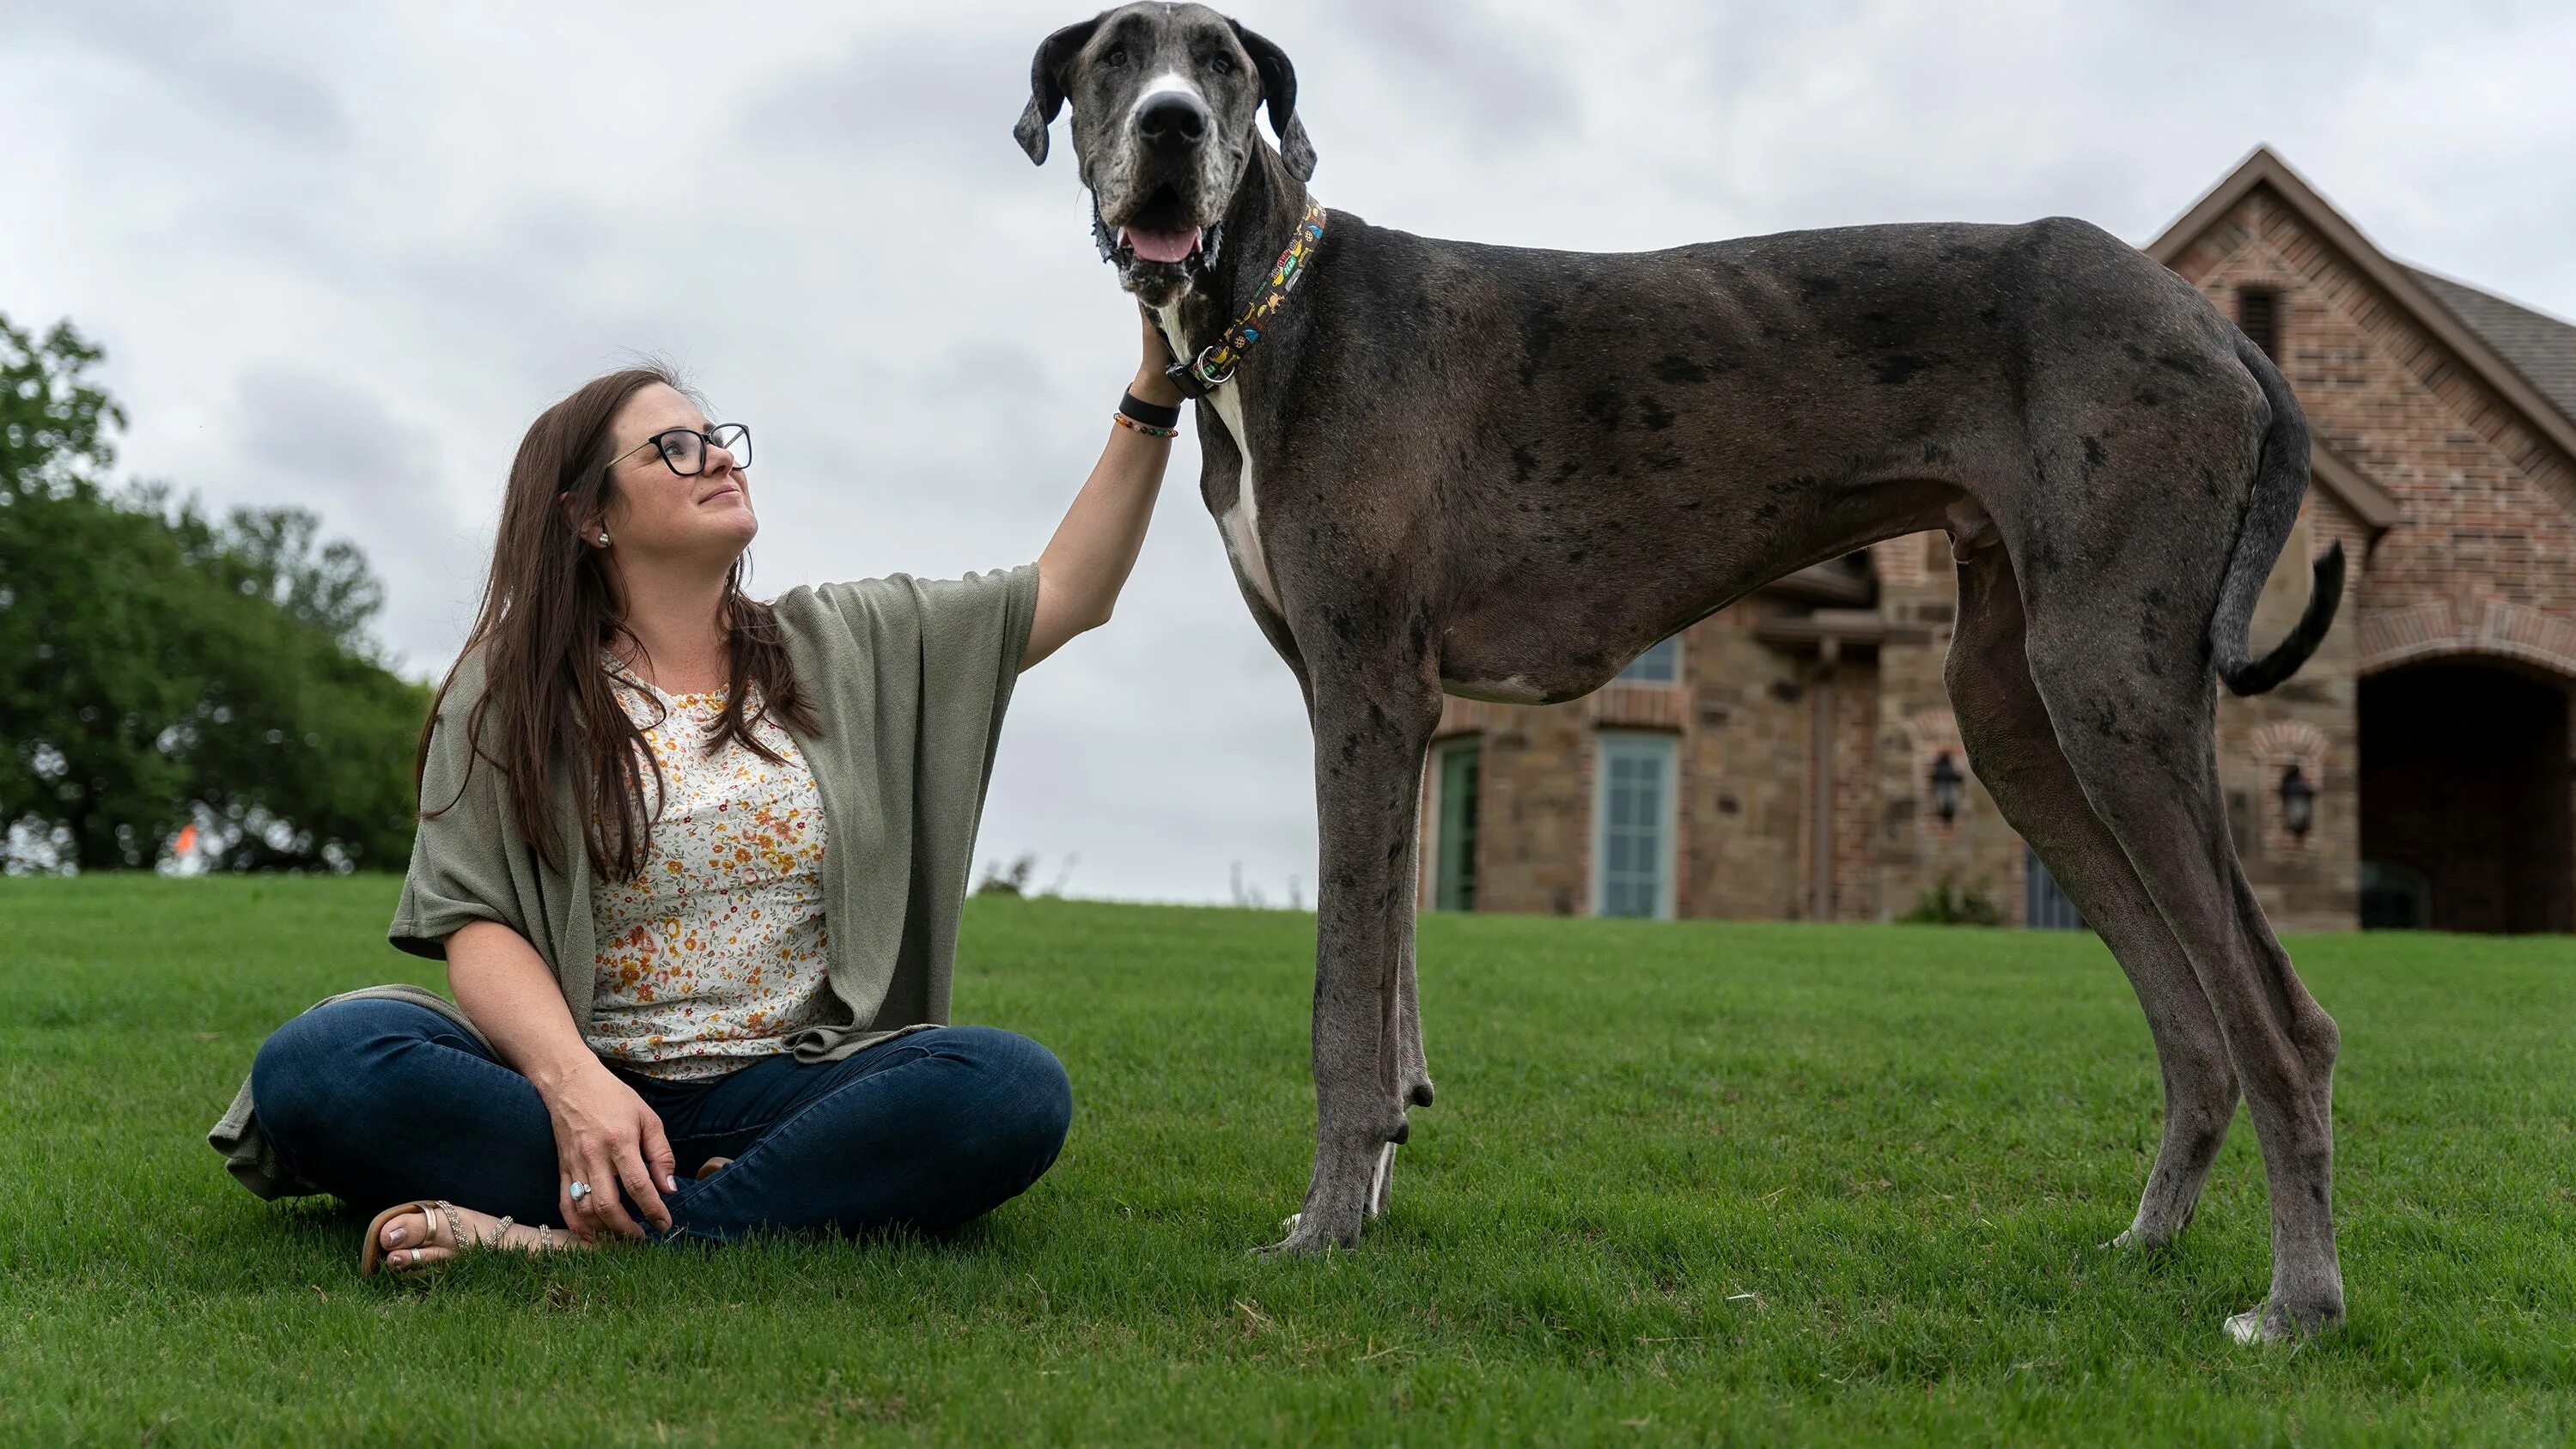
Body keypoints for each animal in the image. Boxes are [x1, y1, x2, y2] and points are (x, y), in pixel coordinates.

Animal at [1004, 0, 2360, 1349]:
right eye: (1113, 59)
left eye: (1222, 64)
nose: (1170, 127)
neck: (1273, 312)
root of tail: (2215, 323)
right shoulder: (1377, 710)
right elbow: (1390, 988)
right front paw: (1366, 1196)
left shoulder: (1368, 691)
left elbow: (1345, 1001)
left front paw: (1323, 1229)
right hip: (2013, 719)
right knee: (2193, 1024)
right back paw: (2144, 1243)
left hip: (2108, 688)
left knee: (2281, 1020)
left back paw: (2295, 1300)